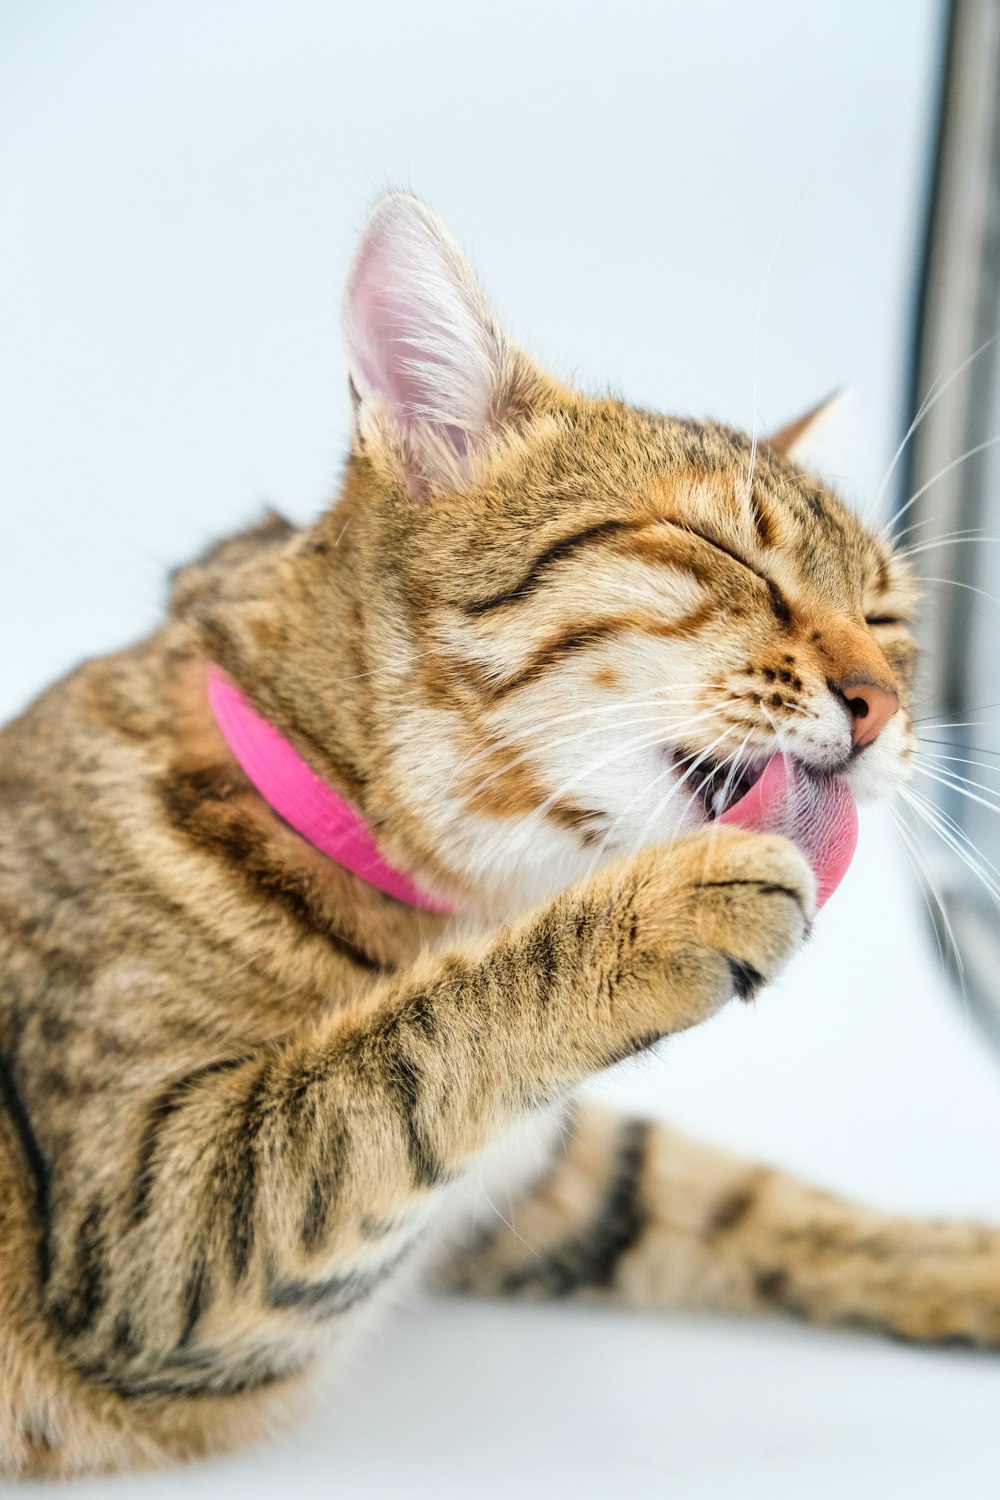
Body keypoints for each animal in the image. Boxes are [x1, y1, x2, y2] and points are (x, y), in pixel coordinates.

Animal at [0, 190, 995, 1476]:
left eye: (887, 619)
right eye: (725, 552)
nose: (883, 701)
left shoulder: (546, 1170)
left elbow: (725, 1191)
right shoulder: (153, 1228)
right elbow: (398, 1057)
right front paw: (646, 922)